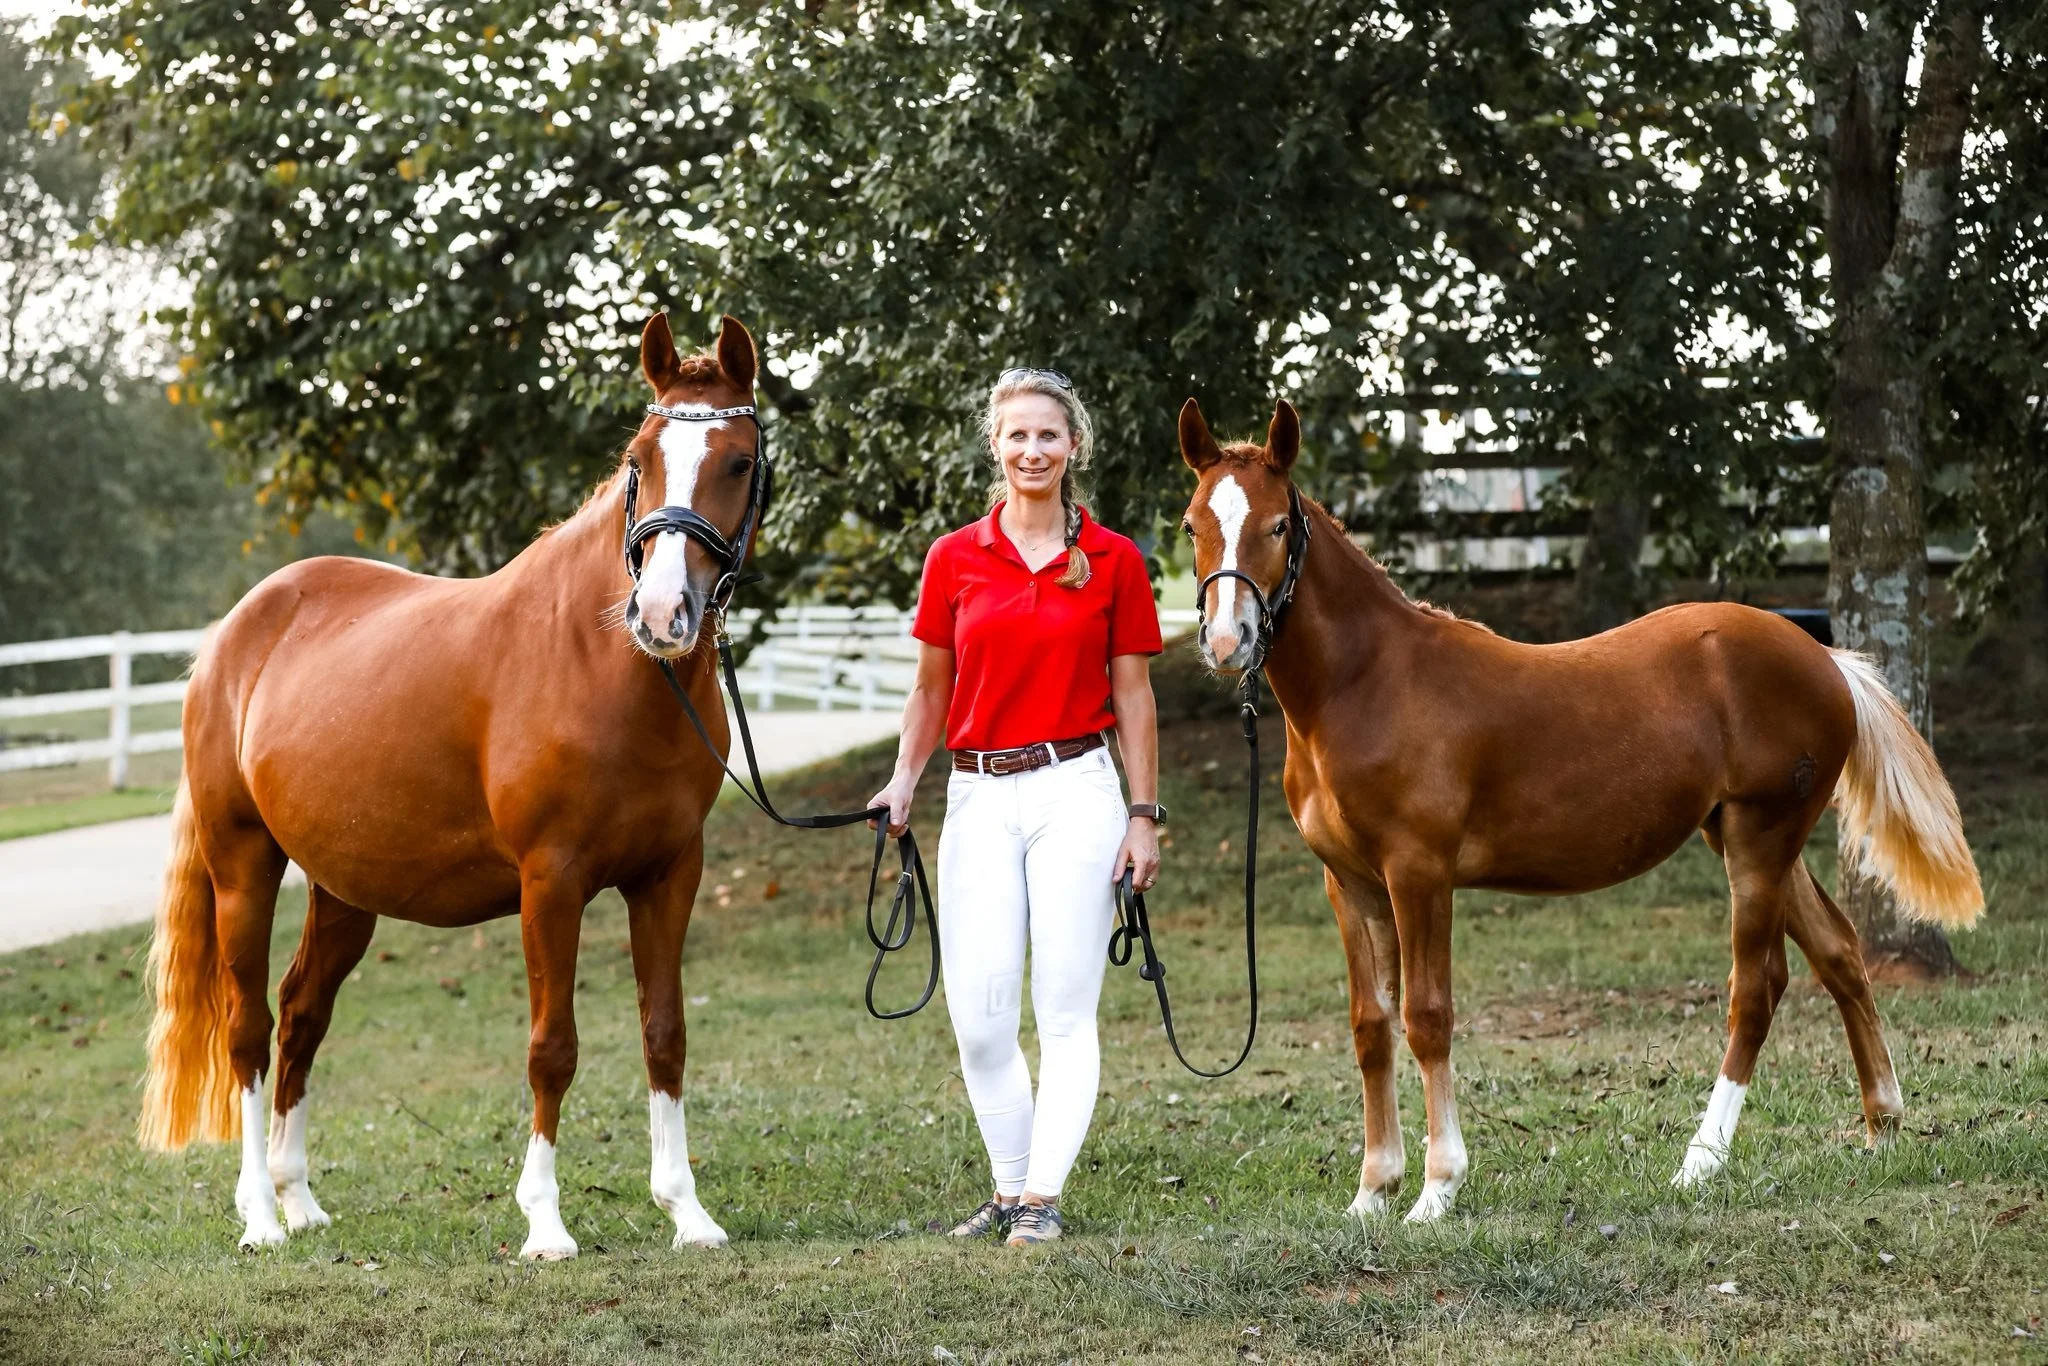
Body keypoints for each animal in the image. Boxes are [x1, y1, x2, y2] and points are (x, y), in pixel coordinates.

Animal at [139, 312, 764, 1258]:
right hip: (242, 866)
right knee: (248, 1031)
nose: (662, 615)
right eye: (639, 459)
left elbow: (665, 1034)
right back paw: (260, 1219)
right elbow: (553, 1047)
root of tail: (234, 633)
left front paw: (687, 1212)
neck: (600, 664)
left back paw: (299, 1201)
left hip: (343, 890)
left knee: (302, 1013)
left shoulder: (669, 876)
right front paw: (545, 1224)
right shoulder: (552, 883)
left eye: (738, 462)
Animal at [1174, 397, 1983, 1223]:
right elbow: (1372, 1027)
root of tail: (1825, 658)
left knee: (1756, 989)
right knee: (1839, 953)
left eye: (1277, 525)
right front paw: (1373, 1192)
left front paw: (1436, 1190)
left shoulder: (1418, 874)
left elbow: (1427, 1019)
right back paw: (1882, 1124)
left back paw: (1700, 1161)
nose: (1226, 640)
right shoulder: (1351, 884)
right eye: (1191, 524)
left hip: (1762, 840)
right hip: (1743, 837)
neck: (1367, 685)